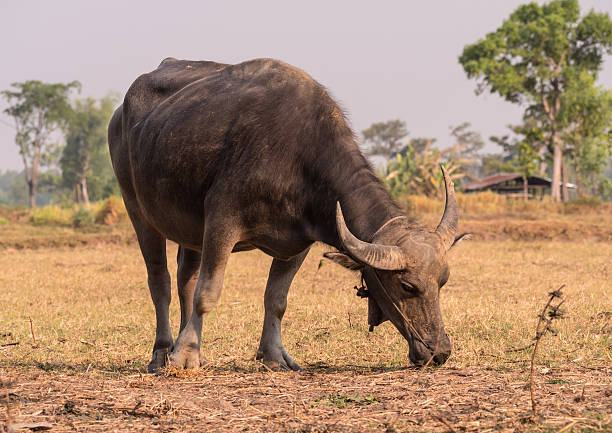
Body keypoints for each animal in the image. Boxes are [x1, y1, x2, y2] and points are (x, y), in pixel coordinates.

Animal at [109, 57, 464, 372]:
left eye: (443, 281)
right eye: (407, 286)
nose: (440, 352)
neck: (299, 159)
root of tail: (119, 115)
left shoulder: (297, 243)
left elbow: (276, 299)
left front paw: (274, 356)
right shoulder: (222, 223)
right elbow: (207, 293)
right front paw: (184, 357)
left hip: (190, 229)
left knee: (186, 279)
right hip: (137, 209)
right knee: (161, 281)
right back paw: (163, 353)